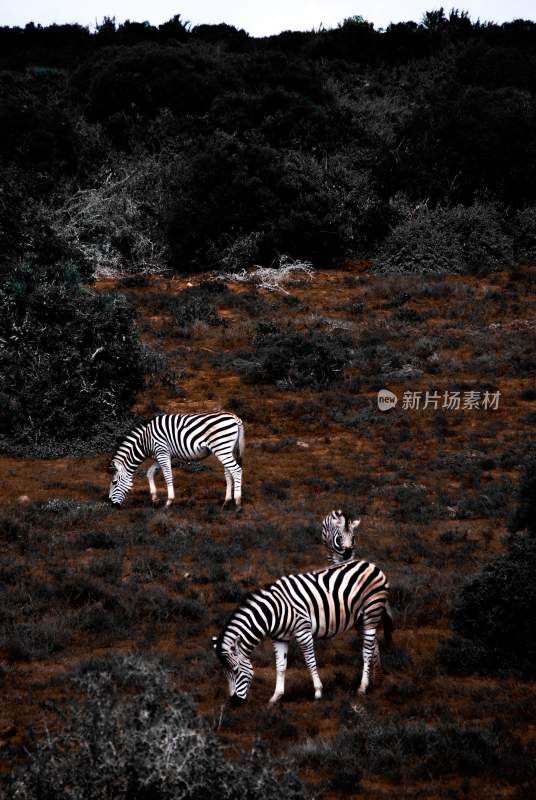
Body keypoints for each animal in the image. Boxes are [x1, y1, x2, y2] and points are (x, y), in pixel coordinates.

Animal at [107, 410, 245, 510]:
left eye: (114, 482)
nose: (112, 505)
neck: (145, 441)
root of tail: (235, 417)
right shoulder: (162, 455)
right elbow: (150, 473)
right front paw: (155, 499)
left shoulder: (162, 452)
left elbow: (168, 476)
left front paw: (169, 502)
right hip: (225, 449)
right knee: (228, 473)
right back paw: (226, 502)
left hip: (221, 447)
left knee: (236, 470)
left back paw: (238, 503)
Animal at [214, 556, 394, 708]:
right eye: (225, 674)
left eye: (235, 671)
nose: (234, 703)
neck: (273, 612)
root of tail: (371, 565)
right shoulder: (279, 638)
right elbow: (280, 666)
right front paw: (276, 697)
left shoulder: (303, 631)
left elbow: (310, 661)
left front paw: (318, 692)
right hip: (361, 619)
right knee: (372, 645)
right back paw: (376, 681)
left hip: (372, 610)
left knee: (366, 650)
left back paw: (362, 687)